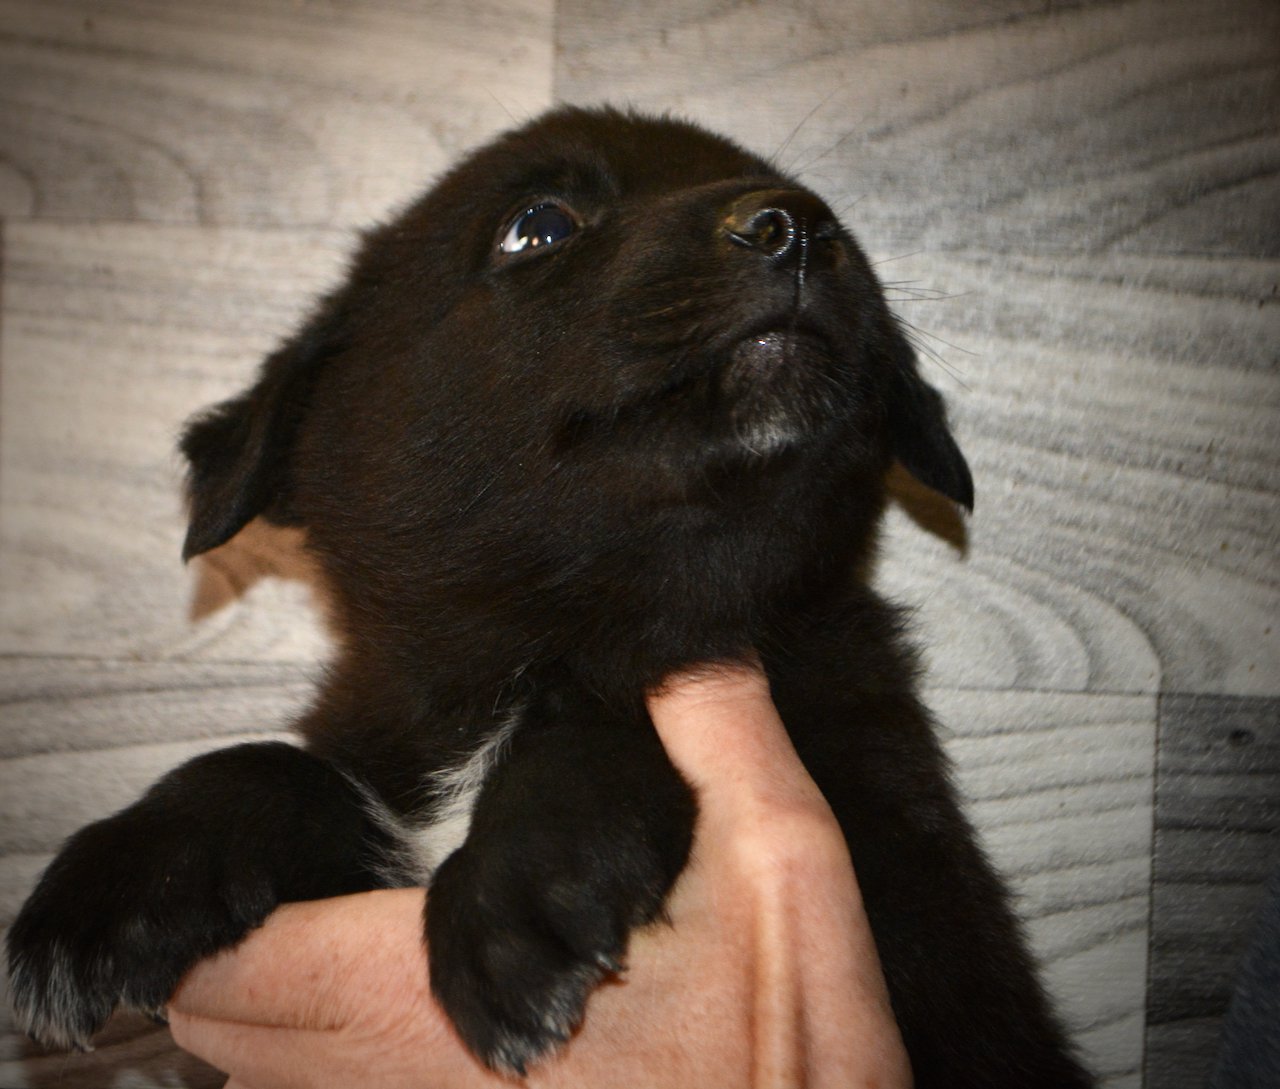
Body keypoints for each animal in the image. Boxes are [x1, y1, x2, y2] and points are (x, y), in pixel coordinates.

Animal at [5, 106, 1095, 1085]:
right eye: (538, 226)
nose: (797, 224)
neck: (539, 641)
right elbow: (275, 765)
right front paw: (120, 878)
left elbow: (600, 712)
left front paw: (519, 888)